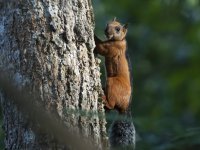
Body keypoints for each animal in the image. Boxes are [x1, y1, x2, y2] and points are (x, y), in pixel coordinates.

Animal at [94, 17, 135, 149]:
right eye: (107, 24)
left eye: (117, 29)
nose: (106, 31)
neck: (121, 40)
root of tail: (126, 106)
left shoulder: (114, 47)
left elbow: (101, 47)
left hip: (113, 83)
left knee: (112, 105)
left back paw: (104, 99)